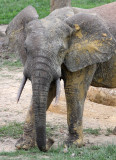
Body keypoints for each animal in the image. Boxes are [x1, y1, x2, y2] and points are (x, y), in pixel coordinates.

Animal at [6, 2, 116, 152]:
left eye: (61, 51)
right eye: (26, 49)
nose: (50, 141)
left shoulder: (84, 55)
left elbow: (73, 90)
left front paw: (72, 145)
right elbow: (47, 91)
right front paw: (23, 145)